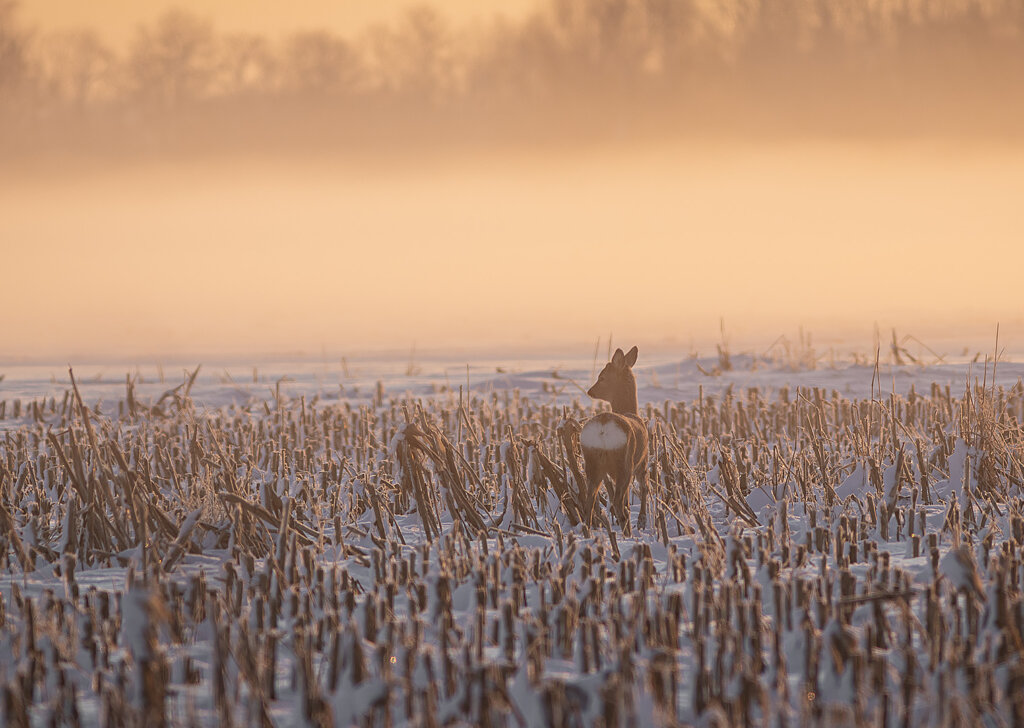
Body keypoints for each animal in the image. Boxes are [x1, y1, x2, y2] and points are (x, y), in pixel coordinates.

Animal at [581, 344, 651, 532]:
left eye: (602, 377)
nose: (590, 391)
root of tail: (603, 427)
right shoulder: (642, 460)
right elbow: (645, 488)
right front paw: (642, 521)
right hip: (624, 463)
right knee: (620, 503)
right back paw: (628, 531)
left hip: (592, 462)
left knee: (590, 501)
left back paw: (588, 531)